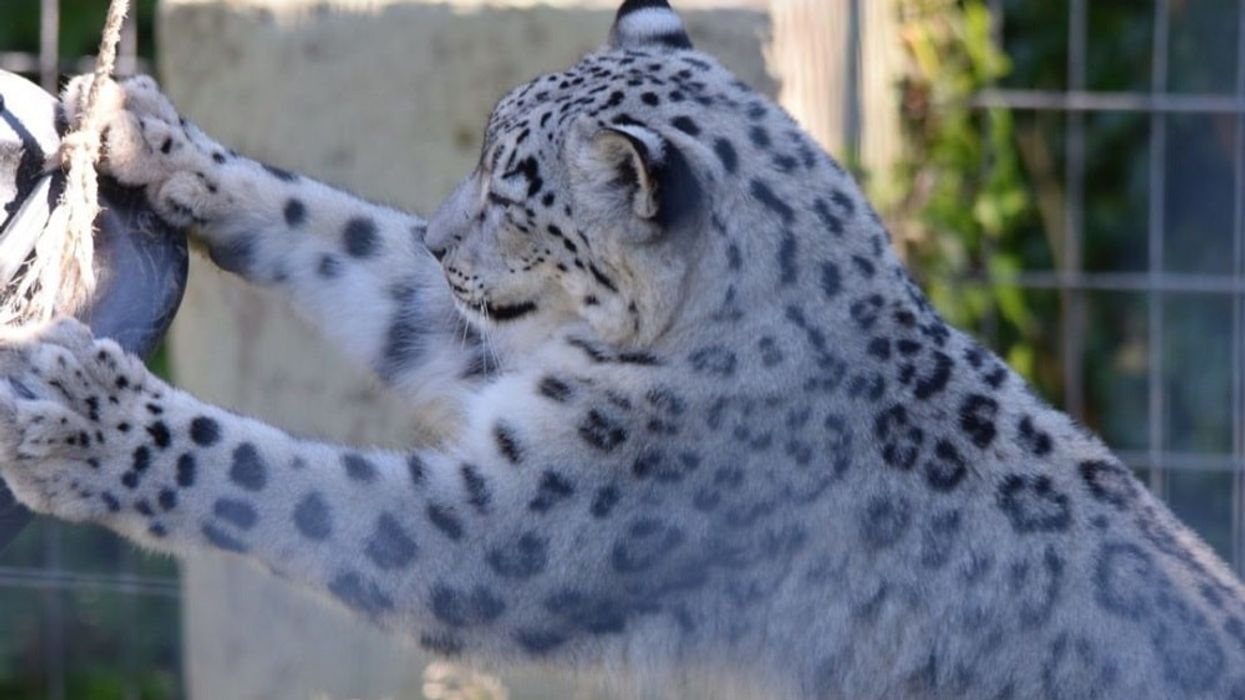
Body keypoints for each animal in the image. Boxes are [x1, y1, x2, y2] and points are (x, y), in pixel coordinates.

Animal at [2, 1, 1244, 698]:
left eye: (516, 196)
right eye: (484, 162)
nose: (445, 241)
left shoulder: (517, 521)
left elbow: (289, 485)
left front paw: (87, 421)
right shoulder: (507, 365)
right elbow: (345, 234)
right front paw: (153, 138)